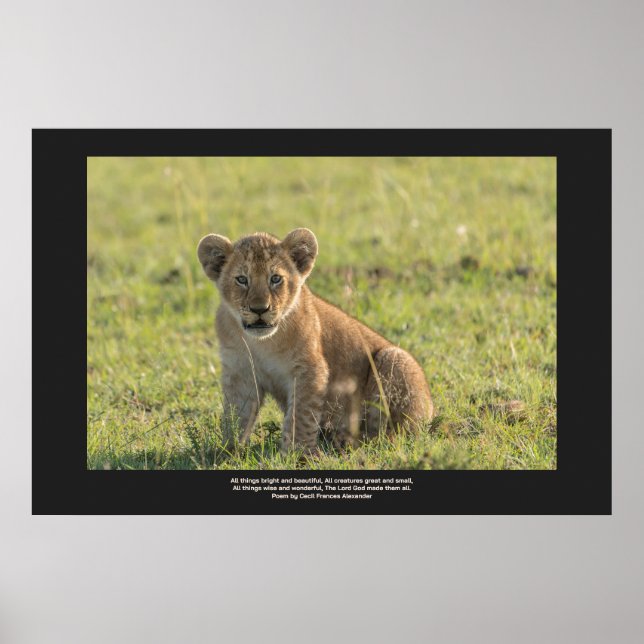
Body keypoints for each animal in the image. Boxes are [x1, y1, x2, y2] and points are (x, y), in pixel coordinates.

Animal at [197, 228, 433, 453]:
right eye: (242, 279)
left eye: (275, 279)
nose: (259, 309)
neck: (262, 343)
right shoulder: (241, 372)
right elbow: (236, 415)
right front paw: (227, 452)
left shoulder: (309, 369)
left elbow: (300, 414)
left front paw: (297, 453)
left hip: (394, 358)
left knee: (393, 434)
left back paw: (348, 441)